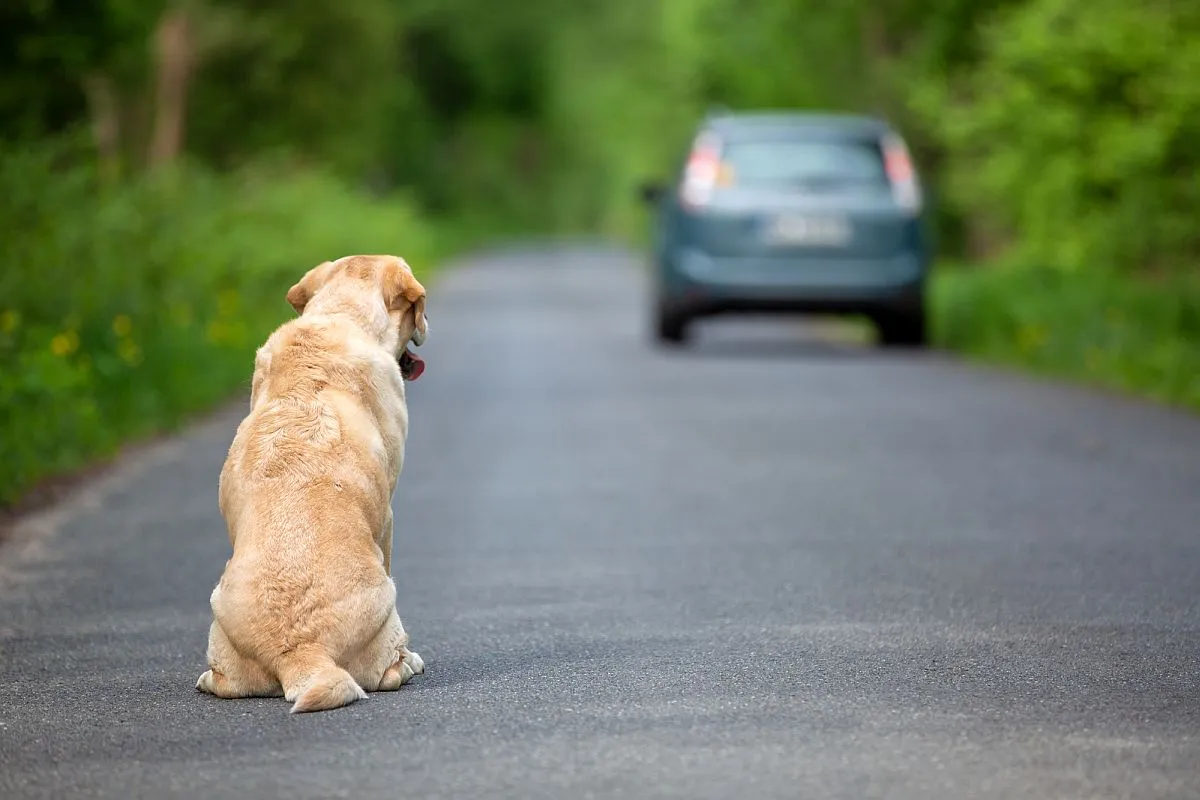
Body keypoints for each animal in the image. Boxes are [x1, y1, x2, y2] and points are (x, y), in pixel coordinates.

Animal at [200, 255, 432, 714]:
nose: (427, 324)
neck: (340, 315)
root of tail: (302, 651)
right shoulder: (388, 516)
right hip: (387, 603)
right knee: (389, 669)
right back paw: (409, 662)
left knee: (223, 681)